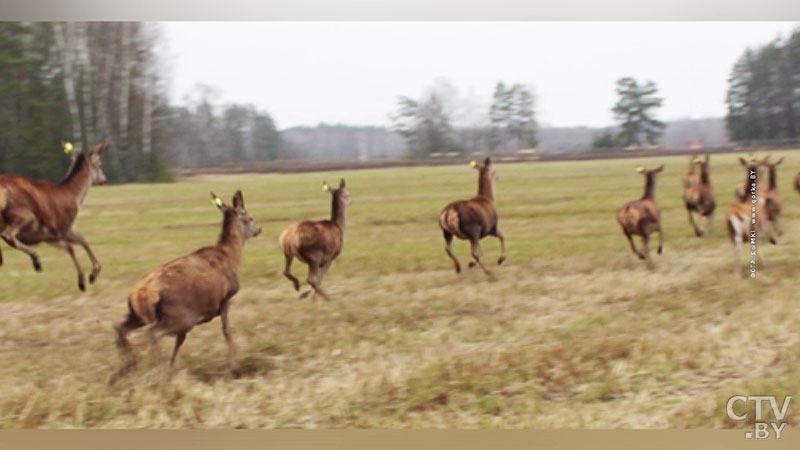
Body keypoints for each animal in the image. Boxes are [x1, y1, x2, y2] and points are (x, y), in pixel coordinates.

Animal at [0, 141, 108, 292]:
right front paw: (90, 275)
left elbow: (72, 247)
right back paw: (36, 260)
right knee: (8, 235)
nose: (105, 179)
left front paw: (84, 278)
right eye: (99, 164)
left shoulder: (50, 236)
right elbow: (82, 242)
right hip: (22, 213)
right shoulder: (63, 227)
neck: (75, 197)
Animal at [112, 190, 260, 376]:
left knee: (120, 328)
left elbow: (179, 342)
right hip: (179, 315)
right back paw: (155, 369)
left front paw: (172, 367)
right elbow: (227, 330)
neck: (231, 257)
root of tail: (140, 294)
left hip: (138, 314)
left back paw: (129, 367)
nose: (259, 229)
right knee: (153, 332)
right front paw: (234, 368)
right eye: (250, 217)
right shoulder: (226, 297)